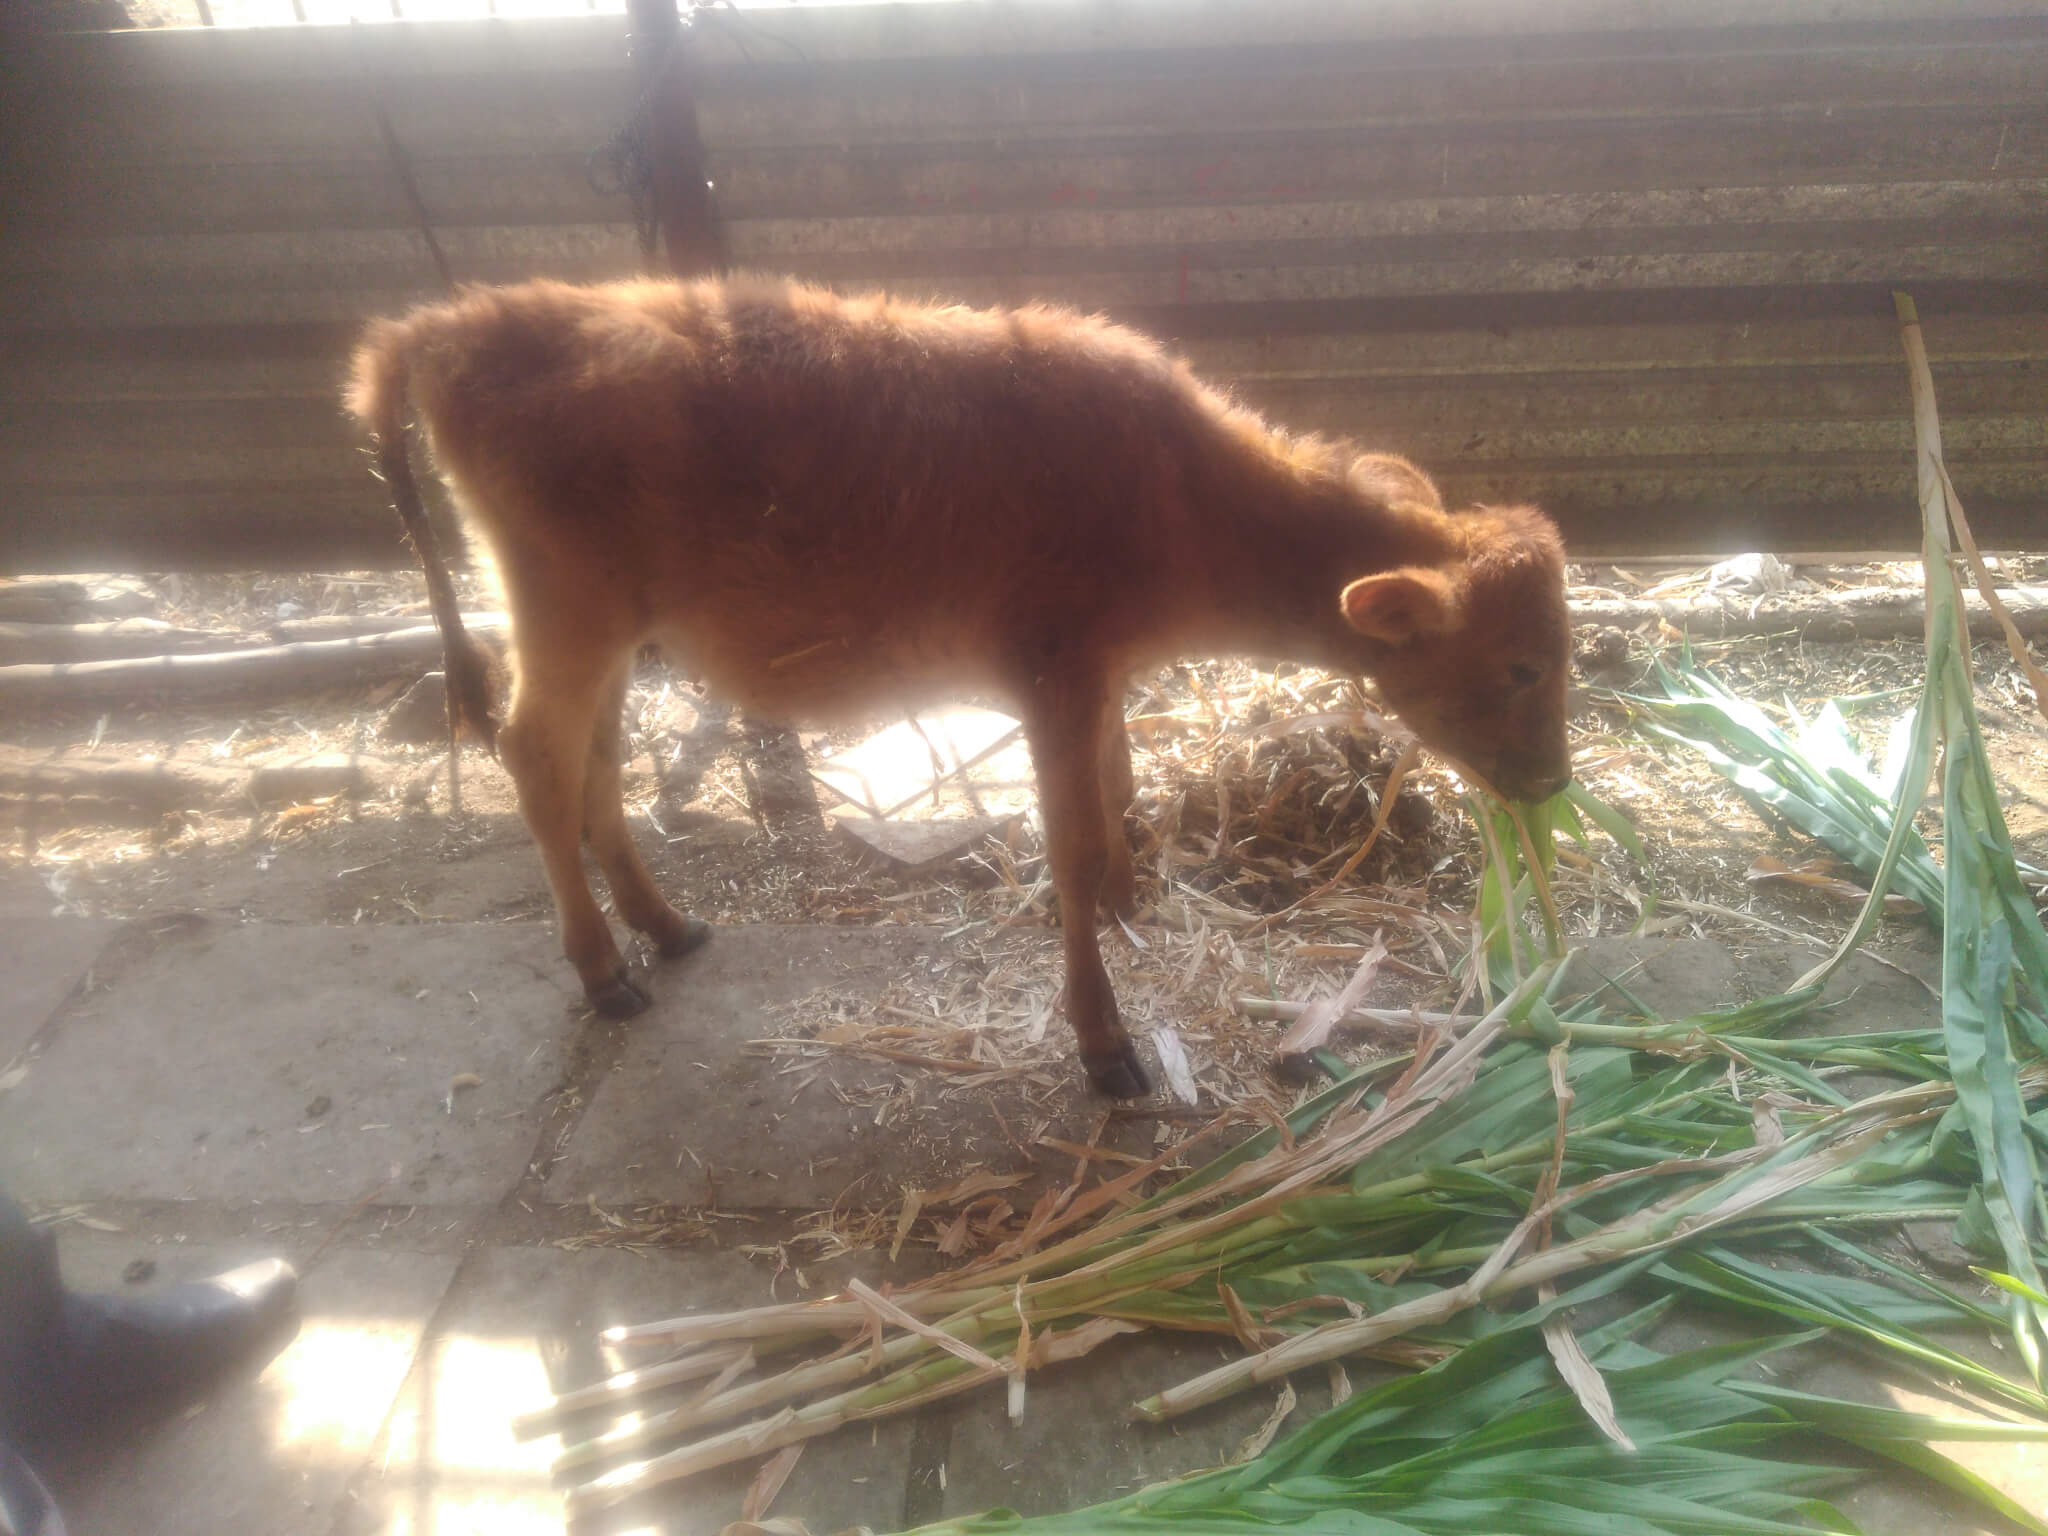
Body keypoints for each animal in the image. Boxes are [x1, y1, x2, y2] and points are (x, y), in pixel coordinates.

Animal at [348, 274, 1564, 1097]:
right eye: (1517, 663)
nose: (1552, 781)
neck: (1178, 493)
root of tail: (462, 320)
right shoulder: (1054, 676)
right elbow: (1069, 846)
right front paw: (1105, 1044)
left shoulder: (1099, 681)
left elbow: (1118, 794)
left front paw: (1129, 897)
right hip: (566, 612)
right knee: (537, 756)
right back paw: (605, 971)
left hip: (607, 628)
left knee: (593, 760)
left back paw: (667, 925)